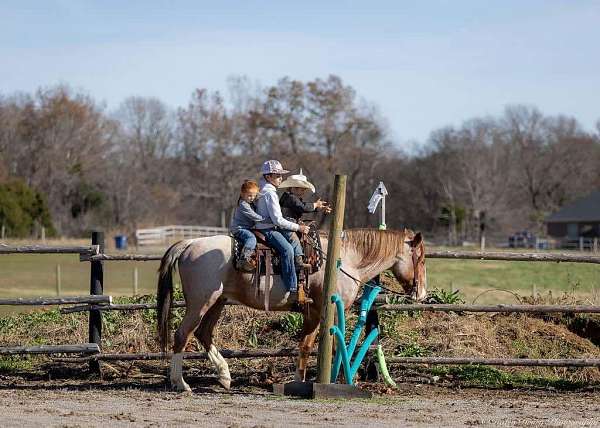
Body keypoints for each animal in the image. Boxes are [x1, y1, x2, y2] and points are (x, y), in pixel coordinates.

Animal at [155, 227, 426, 392]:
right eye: (421, 259)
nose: (422, 294)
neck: (346, 260)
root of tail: (190, 243)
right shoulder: (320, 313)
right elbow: (320, 346)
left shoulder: (313, 315)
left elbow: (310, 345)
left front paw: (303, 380)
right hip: (200, 303)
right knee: (182, 335)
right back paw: (180, 383)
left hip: (217, 302)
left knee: (204, 334)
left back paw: (224, 376)